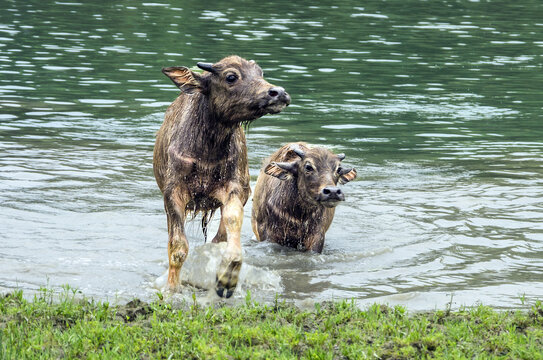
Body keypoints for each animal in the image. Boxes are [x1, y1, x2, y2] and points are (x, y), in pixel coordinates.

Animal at [155, 55, 292, 298]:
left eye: (260, 73)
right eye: (231, 76)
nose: (278, 93)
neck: (207, 150)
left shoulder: (236, 188)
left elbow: (232, 222)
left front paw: (226, 279)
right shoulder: (172, 193)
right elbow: (178, 247)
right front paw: (172, 289)